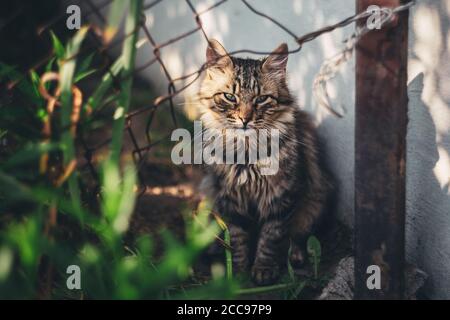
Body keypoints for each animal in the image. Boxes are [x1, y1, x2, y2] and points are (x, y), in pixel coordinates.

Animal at [197, 39, 330, 284]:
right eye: (230, 97)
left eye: (261, 99)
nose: (245, 119)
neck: (247, 154)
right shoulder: (229, 199)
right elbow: (238, 237)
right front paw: (238, 272)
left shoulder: (281, 196)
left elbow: (271, 237)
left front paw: (263, 270)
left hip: (315, 201)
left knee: (298, 236)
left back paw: (295, 256)